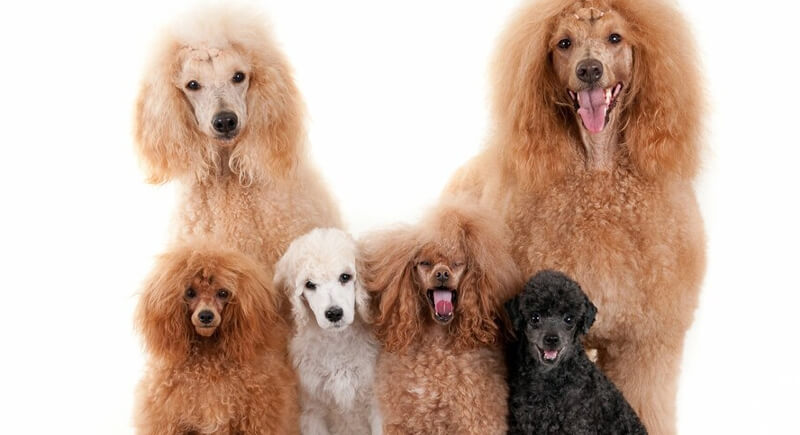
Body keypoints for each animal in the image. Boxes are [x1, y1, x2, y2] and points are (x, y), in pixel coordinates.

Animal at [134, 243, 299, 434]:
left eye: (222, 293)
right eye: (190, 292)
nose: (206, 316)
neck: (209, 357)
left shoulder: (257, 415)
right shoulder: (169, 417)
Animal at [274, 228, 382, 435]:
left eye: (345, 277)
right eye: (309, 284)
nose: (334, 313)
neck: (337, 341)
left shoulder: (376, 402)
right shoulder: (311, 410)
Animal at [360, 200, 522, 434]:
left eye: (457, 263)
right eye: (425, 263)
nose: (442, 274)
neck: (437, 343)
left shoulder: (477, 418)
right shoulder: (404, 420)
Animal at [506, 270, 646, 434]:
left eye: (569, 319)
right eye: (535, 317)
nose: (552, 339)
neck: (550, 377)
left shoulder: (577, 423)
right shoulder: (523, 422)